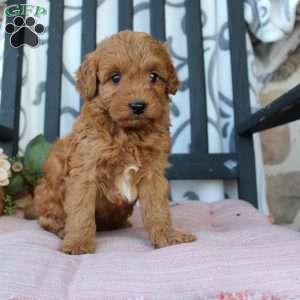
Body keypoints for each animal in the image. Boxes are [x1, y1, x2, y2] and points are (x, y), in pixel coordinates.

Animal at [34, 30, 197, 254]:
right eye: (115, 78)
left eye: (153, 76)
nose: (138, 106)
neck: (128, 134)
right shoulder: (85, 171)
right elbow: (80, 211)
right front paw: (77, 243)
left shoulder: (153, 172)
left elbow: (158, 208)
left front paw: (167, 235)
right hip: (47, 192)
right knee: (47, 219)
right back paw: (60, 229)